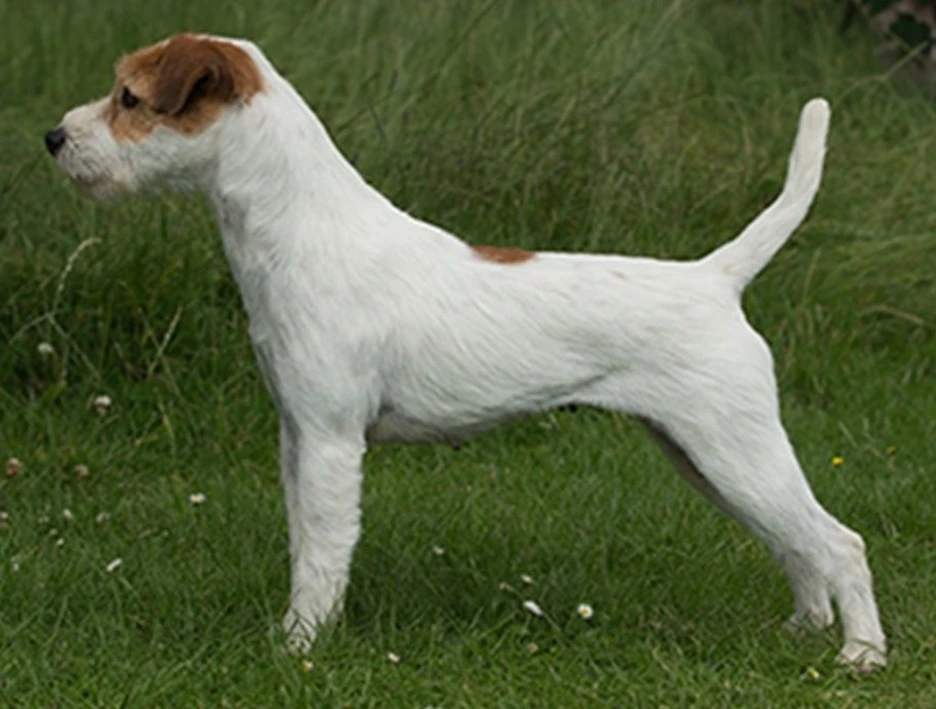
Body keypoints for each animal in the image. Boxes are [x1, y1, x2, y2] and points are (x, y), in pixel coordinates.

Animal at [45, 34, 892, 668]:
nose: (54, 137)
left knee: (839, 540)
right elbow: (301, 543)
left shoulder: (330, 440)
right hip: (707, 456)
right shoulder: (296, 434)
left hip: (734, 448)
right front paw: (297, 634)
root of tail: (716, 277)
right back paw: (806, 629)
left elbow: (323, 553)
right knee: (797, 545)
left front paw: (300, 646)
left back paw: (862, 655)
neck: (302, 227)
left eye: (129, 99)